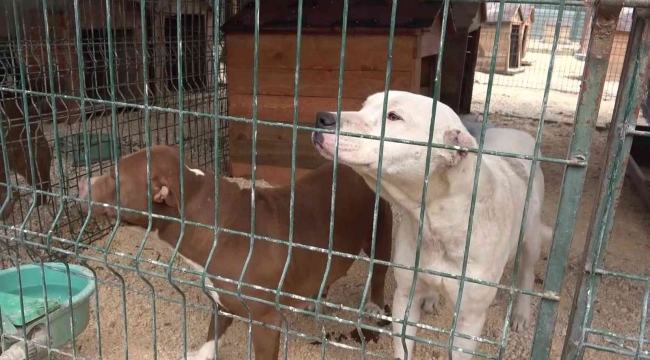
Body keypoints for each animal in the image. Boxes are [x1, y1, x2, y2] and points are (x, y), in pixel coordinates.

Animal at [74, 145, 390, 358]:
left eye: (114, 175)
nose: (80, 182)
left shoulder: (266, 320)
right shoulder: (220, 296)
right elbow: (214, 330)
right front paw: (201, 354)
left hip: (379, 232)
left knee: (379, 272)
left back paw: (374, 306)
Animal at [312, 91, 548, 358]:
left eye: (393, 116)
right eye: (363, 106)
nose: (322, 118)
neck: (437, 222)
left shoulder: (469, 320)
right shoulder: (405, 296)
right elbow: (403, 345)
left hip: (531, 237)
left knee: (527, 272)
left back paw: (521, 313)